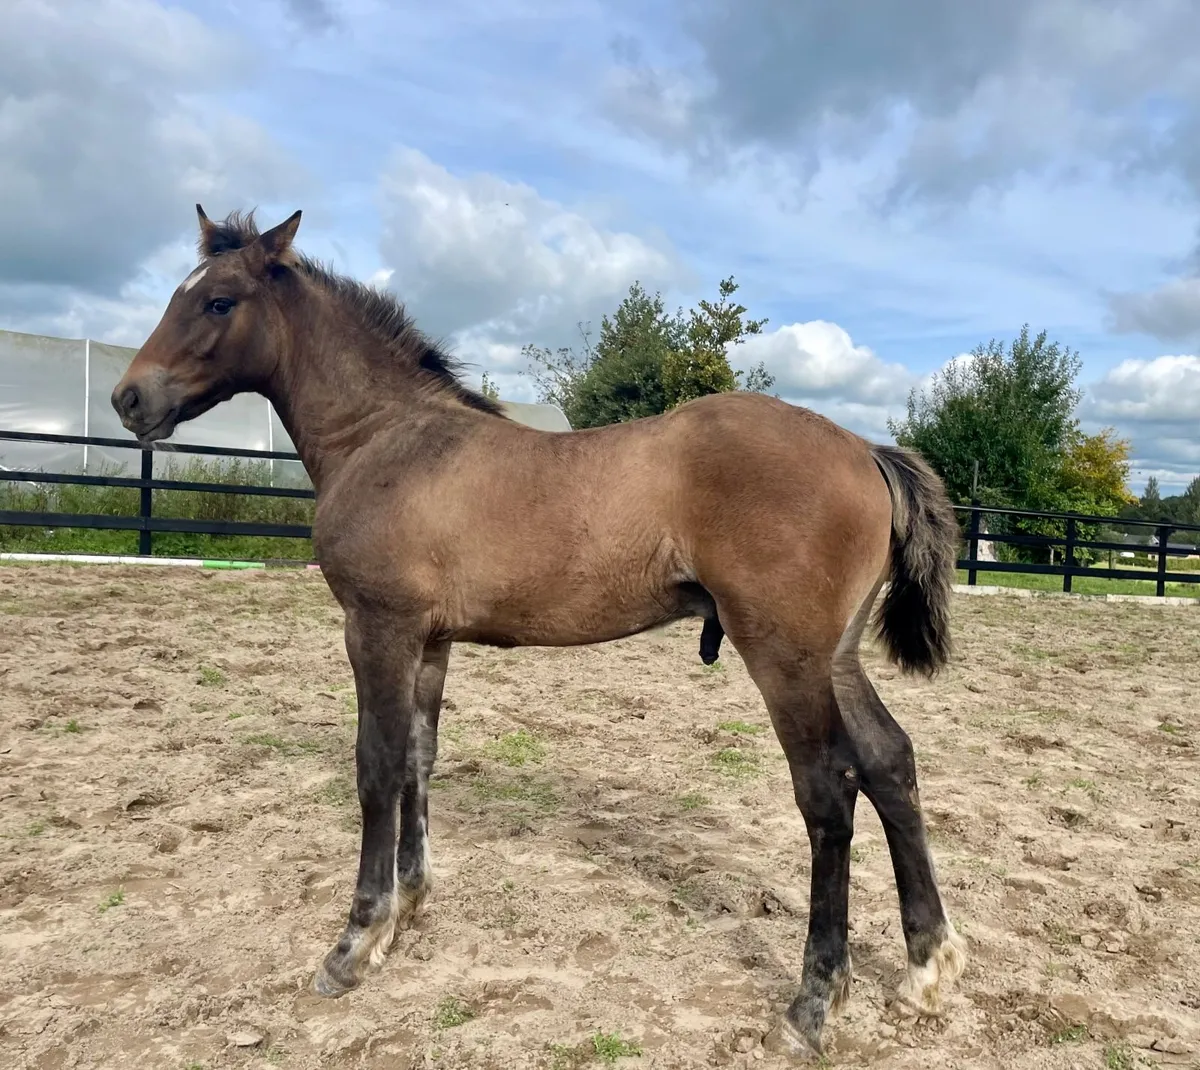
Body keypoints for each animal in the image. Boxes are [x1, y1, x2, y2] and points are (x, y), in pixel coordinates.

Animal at [110, 205, 967, 1058]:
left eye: (218, 301)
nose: (127, 398)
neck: (387, 437)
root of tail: (865, 448)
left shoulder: (376, 629)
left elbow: (376, 768)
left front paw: (355, 942)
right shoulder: (430, 641)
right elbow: (419, 758)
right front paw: (410, 907)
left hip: (784, 656)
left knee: (829, 792)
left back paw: (812, 1004)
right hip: (836, 658)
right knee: (890, 761)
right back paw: (927, 969)